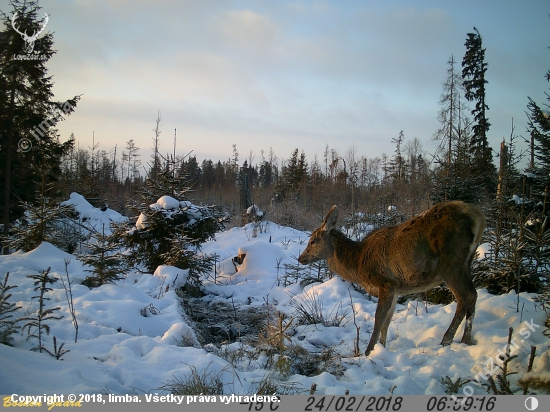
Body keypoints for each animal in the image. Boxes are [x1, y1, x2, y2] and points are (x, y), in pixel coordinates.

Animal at [300, 201, 486, 356]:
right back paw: (466, 340)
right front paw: (381, 348)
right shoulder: (396, 288)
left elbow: (379, 318)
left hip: (451, 262)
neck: (358, 263)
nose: (301, 258)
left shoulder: (386, 282)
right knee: (473, 295)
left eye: (313, 241)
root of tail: (477, 214)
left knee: (465, 296)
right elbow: (387, 321)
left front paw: (368, 351)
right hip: (466, 262)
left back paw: (446, 340)